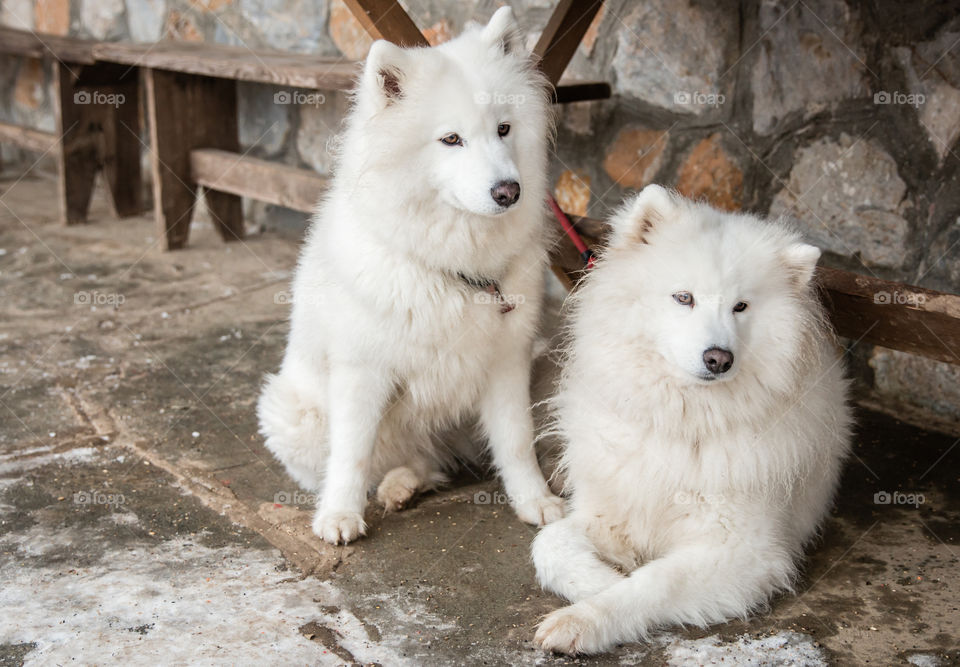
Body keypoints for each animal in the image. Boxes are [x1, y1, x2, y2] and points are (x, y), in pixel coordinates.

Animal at [258, 7, 568, 544]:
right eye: (451, 140)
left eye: (504, 129)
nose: (509, 191)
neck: (454, 263)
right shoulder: (363, 370)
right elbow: (351, 453)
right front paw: (339, 516)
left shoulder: (507, 362)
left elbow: (516, 441)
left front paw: (535, 502)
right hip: (291, 412)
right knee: (385, 460)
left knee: (428, 464)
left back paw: (403, 486)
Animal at [528, 185, 852, 656]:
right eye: (684, 298)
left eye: (740, 307)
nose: (718, 358)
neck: (684, 420)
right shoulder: (614, 512)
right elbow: (548, 543)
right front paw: (602, 578)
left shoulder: (741, 550)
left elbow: (651, 583)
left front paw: (586, 618)